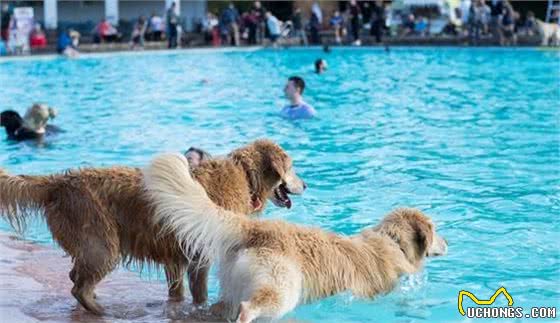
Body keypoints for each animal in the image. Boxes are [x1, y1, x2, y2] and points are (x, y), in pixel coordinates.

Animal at [0, 140, 306, 316]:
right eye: (291, 167)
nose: (305, 184)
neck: (243, 176)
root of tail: (59, 182)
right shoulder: (199, 258)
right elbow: (200, 295)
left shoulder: (176, 259)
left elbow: (177, 294)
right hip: (103, 242)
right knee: (79, 287)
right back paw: (103, 311)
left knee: (75, 277)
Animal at [145, 153, 450, 322]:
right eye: (435, 230)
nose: (448, 244)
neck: (392, 243)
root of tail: (254, 229)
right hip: (281, 288)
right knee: (249, 308)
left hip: (233, 288)